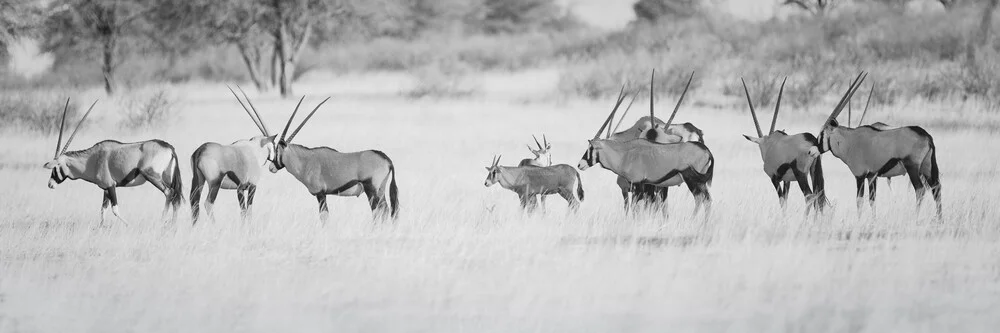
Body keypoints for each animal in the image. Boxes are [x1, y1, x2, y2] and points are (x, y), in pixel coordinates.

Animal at [43, 97, 186, 224]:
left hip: (153, 176)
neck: (92, 160)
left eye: (56, 167)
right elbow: (103, 210)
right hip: (167, 177)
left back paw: (162, 220)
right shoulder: (105, 189)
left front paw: (128, 225)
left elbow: (115, 210)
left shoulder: (111, 185)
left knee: (169, 192)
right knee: (175, 198)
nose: (50, 184)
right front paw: (101, 228)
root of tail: (169, 148)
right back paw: (173, 224)